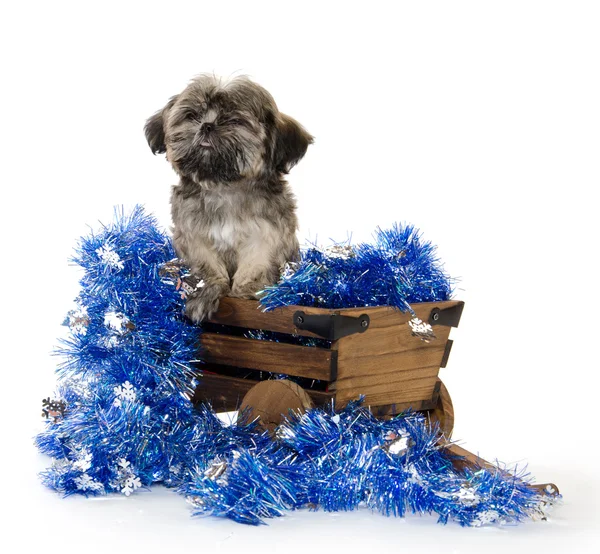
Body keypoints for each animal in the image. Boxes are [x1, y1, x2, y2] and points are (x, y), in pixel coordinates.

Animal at [145, 75, 312, 322]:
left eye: (233, 120)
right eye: (192, 115)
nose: (207, 126)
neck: (224, 187)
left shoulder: (266, 233)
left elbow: (256, 262)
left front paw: (250, 290)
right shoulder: (193, 233)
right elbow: (206, 263)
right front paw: (204, 292)